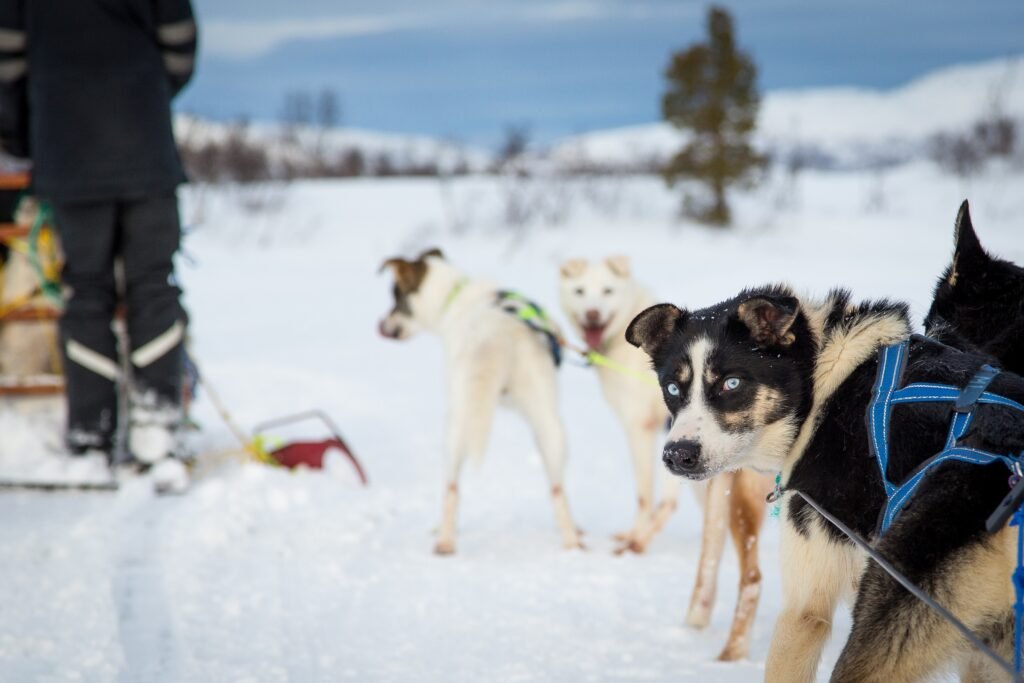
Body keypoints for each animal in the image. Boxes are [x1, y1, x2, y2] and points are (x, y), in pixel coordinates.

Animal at [378, 248, 585, 557]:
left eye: (395, 297)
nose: (381, 325)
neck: (455, 296)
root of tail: (498, 331)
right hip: (549, 424)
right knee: (557, 488)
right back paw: (571, 539)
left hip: (457, 424)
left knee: (452, 487)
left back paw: (445, 540)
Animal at [565, 253, 770, 659]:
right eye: (580, 291)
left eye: (606, 291)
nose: (592, 314)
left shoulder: (643, 433)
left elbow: (647, 498)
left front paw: (635, 540)